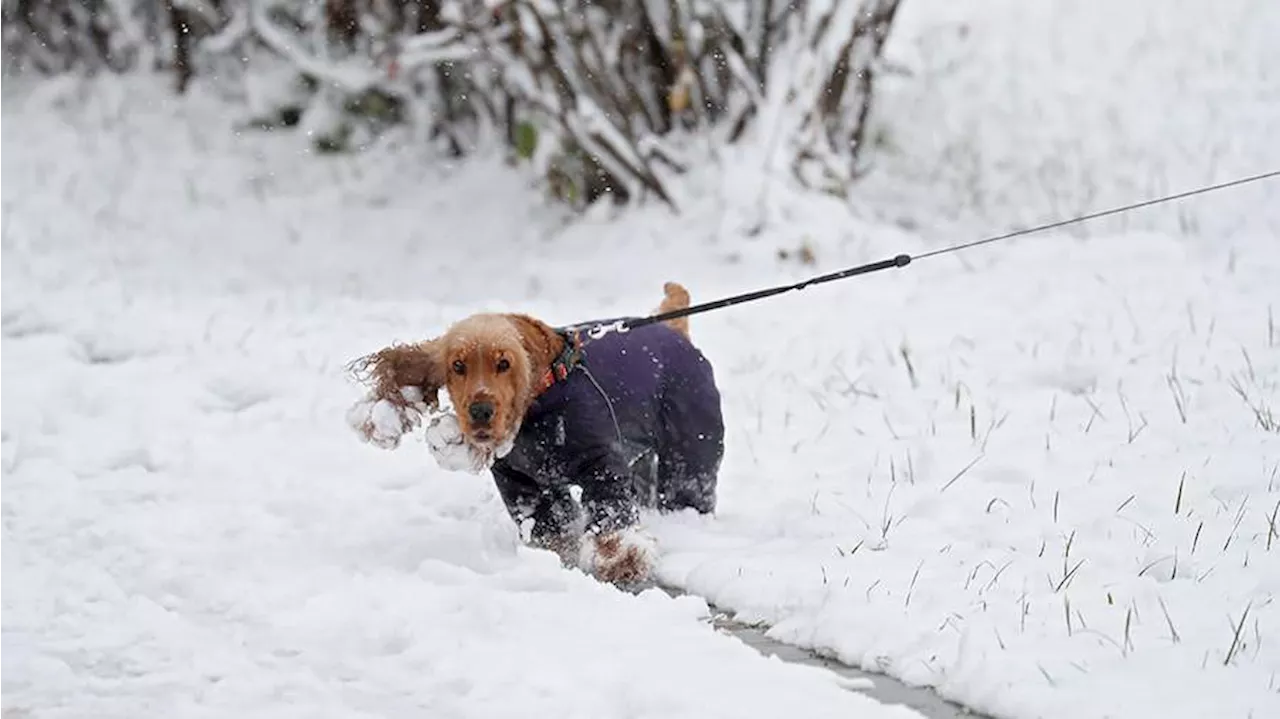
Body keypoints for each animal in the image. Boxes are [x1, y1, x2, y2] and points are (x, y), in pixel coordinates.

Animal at [350, 280, 727, 583]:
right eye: (457, 366)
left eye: (504, 363)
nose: (480, 411)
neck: (541, 401)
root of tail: (675, 330)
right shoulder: (521, 483)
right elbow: (550, 526)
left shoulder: (601, 463)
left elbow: (610, 512)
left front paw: (623, 560)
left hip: (690, 452)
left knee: (688, 487)